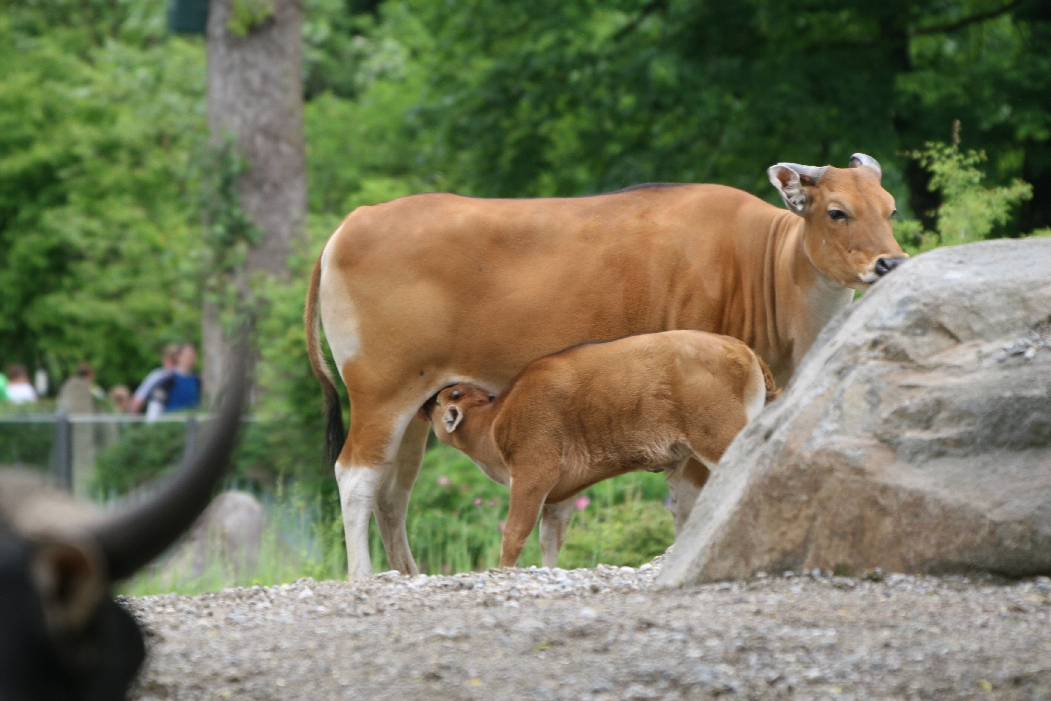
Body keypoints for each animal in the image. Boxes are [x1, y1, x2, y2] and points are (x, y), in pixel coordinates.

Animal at [422, 330, 780, 568]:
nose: (427, 402)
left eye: (446, 398)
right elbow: (549, 539)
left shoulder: (532, 478)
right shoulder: (561, 494)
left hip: (717, 441)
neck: (496, 416)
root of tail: (740, 349)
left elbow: (514, 535)